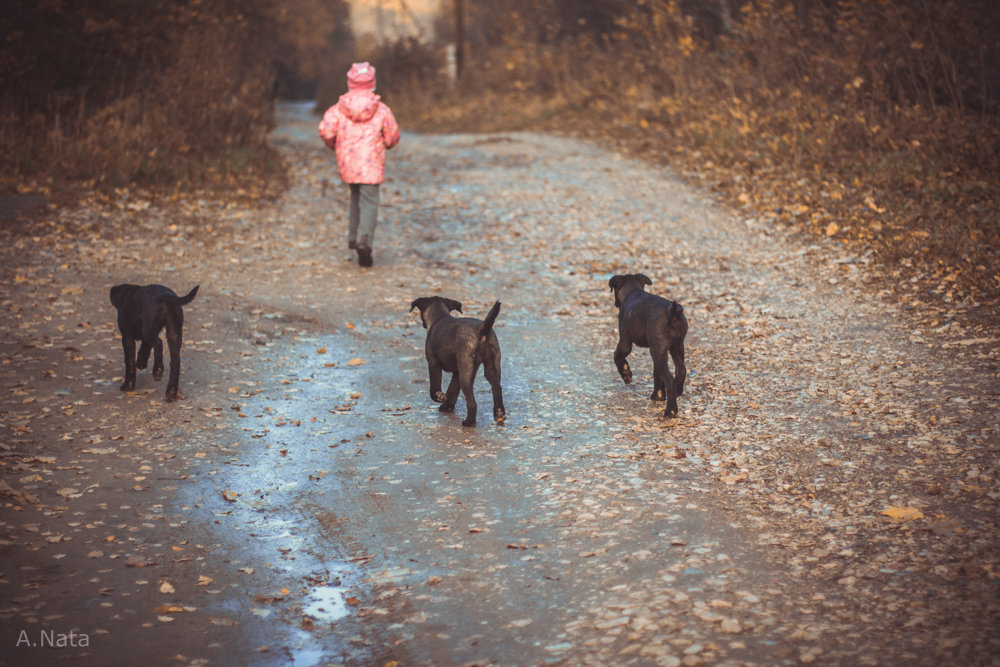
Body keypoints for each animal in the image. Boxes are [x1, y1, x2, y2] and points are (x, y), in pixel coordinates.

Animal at [408, 298, 508, 428]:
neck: (439, 317)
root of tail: (482, 329)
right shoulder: (457, 372)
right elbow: (452, 390)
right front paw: (447, 406)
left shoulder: (433, 363)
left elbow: (434, 388)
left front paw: (439, 397)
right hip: (492, 368)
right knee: (497, 388)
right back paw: (499, 414)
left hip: (466, 374)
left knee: (472, 402)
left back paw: (469, 422)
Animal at [608, 272, 688, 418]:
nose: (615, 303)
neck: (633, 291)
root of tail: (673, 312)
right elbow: (657, 374)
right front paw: (658, 396)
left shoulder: (625, 342)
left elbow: (617, 356)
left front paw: (626, 374)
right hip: (676, 347)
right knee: (680, 371)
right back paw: (677, 393)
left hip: (659, 352)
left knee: (669, 380)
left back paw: (671, 411)